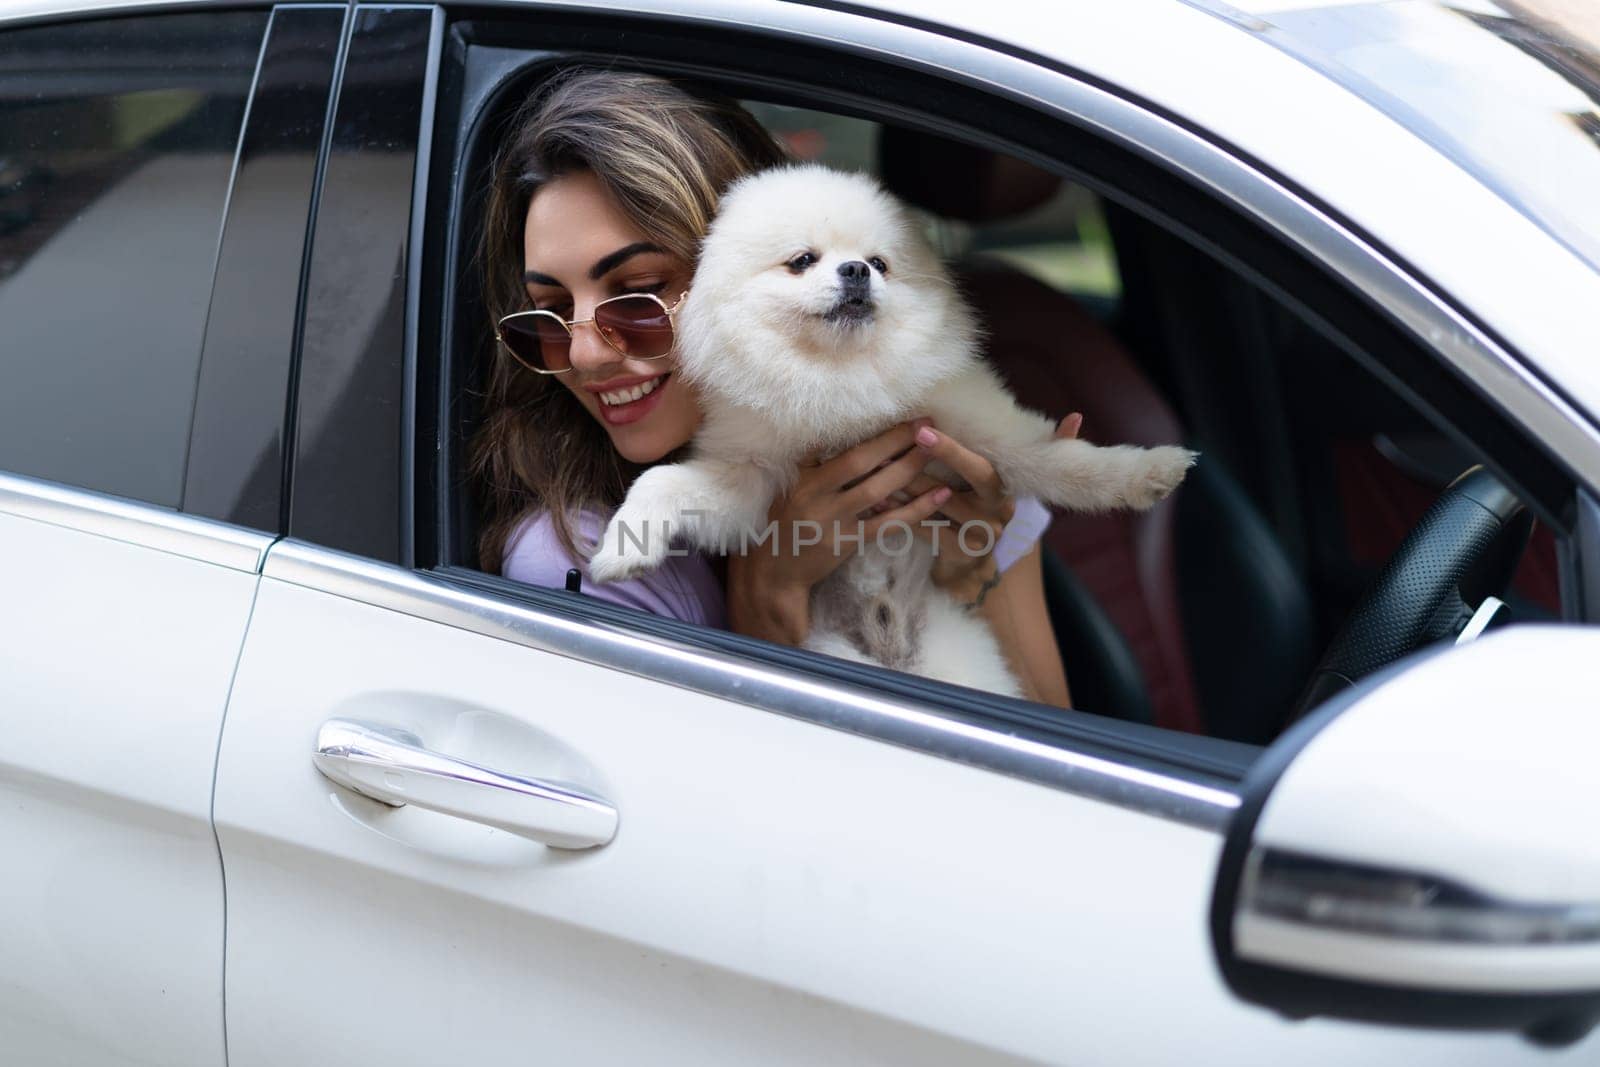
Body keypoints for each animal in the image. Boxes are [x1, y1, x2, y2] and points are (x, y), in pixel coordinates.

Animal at [588, 163, 1190, 697]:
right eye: (802, 261)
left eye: (879, 261)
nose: (856, 270)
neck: (840, 380)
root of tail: (892, 649)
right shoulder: (753, 481)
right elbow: (661, 481)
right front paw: (623, 546)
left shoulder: (972, 432)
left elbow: (1066, 464)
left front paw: (1147, 472)